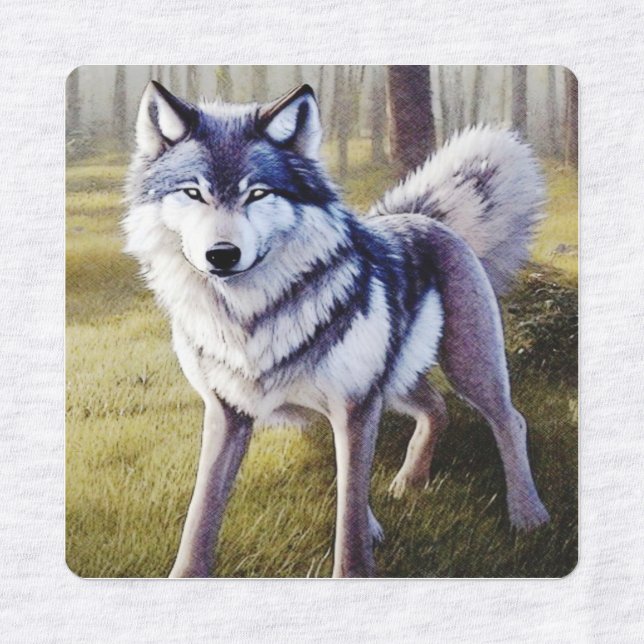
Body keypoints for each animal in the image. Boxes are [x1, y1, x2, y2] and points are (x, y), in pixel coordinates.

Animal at [123, 80, 550, 578]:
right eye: (193, 193)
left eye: (258, 194)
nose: (222, 255)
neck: (251, 319)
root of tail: (423, 217)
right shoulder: (228, 413)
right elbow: (201, 510)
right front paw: (185, 575)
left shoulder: (354, 407)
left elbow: (348, 514)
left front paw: (355, 568)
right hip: (395, 382)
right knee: (436, 408)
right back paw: (409, 482)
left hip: (467, 369)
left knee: (509, 421)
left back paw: (528, 514)